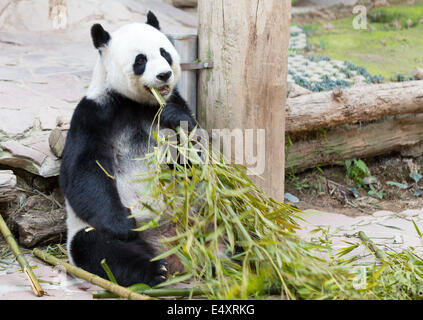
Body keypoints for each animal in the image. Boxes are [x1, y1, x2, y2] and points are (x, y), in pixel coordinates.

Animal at [58, 13, 198, 288]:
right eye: (140, 60)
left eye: (164, 52)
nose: (164, 75)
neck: (137, 103)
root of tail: (172, 249)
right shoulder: (94, 114)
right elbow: (84, 171)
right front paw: (124, 223)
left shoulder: (174, 102)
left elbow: (198, 159)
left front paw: (175, 119)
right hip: (90, 231)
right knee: (101, 249)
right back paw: (154, 270)